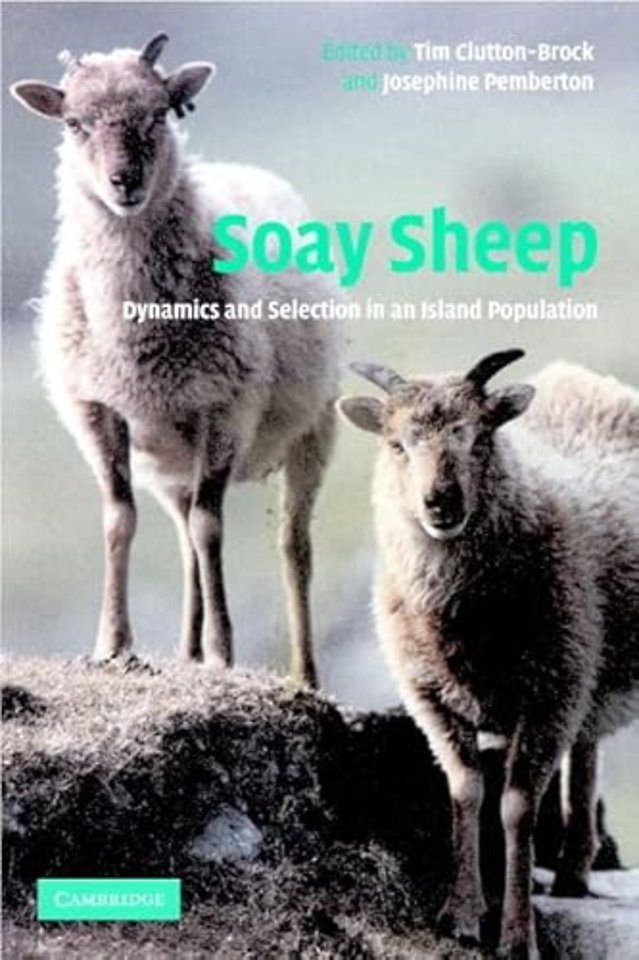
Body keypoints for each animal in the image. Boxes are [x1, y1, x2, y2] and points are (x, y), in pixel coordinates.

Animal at [10, 33, 341, 688]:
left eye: (159, 114)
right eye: (74, 123)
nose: (124, 182)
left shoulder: (226, 406)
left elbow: (212, 528)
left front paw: (221, 650)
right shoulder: (97, 409)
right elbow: (120, 520)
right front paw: (113, 644)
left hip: (313, 429)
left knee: (291, 547)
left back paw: (303, 673)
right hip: (167, 456)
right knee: (184, 536)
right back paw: (185, 650)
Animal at [338, 349, 639, 958]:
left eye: (478, 437)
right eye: (397, 444)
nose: (440, 502)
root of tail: (579, 377)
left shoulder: (550, 692)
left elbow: (517, 807)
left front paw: (517, 936)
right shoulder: (431, 697)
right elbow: (466, 791)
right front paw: (462, 914)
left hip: (580, 659)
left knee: (584, 749)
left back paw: (573, 867)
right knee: (587, 748)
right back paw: (572, 872)